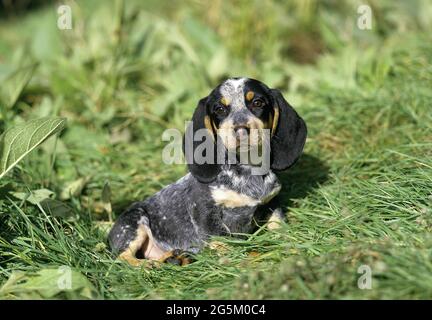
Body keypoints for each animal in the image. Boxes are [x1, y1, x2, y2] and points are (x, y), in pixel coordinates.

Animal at [107, 77, 306, 264]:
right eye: (219, 109)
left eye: (258, 102)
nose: (241, 130)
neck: (248, 170)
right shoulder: (205, 211)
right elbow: (222, 240)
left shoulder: (272, 202)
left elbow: (279, 226)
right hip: (134, 221)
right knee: (123, 257)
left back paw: (175, 258)